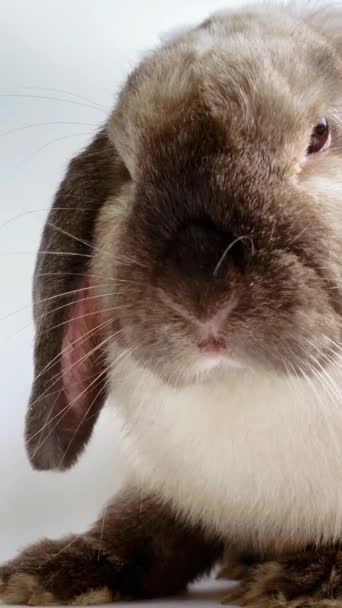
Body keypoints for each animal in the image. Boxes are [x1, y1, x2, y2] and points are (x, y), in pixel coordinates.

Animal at [0, 2, 342, 604]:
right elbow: (141, 529)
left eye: (319, 135)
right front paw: (45, 575)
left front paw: (298, 582)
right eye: (130, 171)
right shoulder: (172, 485)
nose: (198, 289)